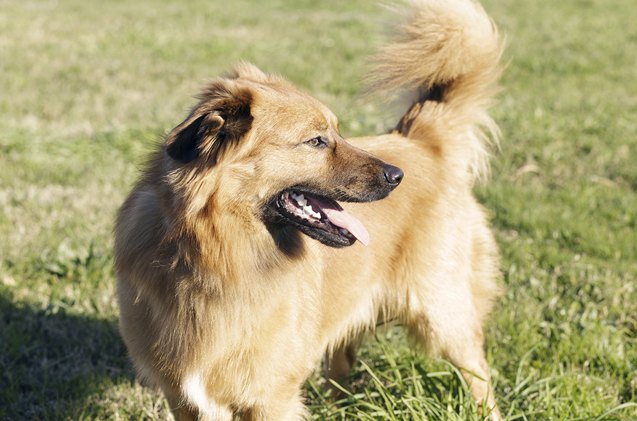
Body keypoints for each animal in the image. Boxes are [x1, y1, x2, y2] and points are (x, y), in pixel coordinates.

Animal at [114, 0, 502, 416]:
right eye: (316, 141)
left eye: (337, 133)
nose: (397, 176)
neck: (211, 254)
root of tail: (420, 143)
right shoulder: (184, 398)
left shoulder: (271, 398)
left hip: (443, 314)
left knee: (479, 376)